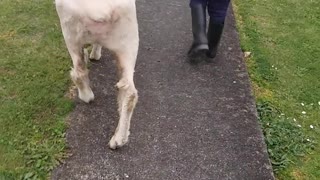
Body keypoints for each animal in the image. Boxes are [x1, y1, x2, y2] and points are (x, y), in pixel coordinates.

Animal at [54, 0, 139, 149]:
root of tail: (100, 12)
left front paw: (94, 54)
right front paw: (95, 53)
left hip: (70, 33)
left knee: (79, 71)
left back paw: (86, 96)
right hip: (128, 42)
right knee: (129, 92)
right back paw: (119, 139)